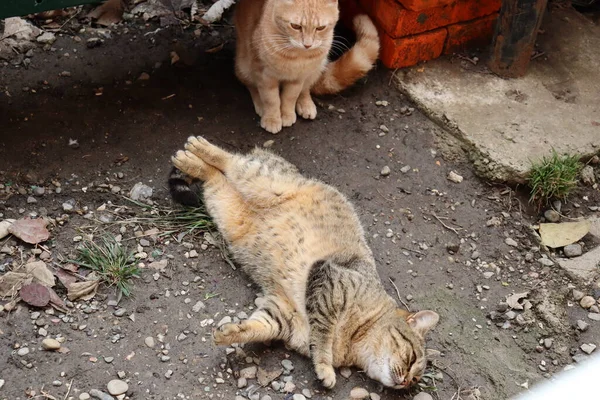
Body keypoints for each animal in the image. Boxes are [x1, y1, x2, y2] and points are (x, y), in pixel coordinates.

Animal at [170, 136, 440, 390]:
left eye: (416, 380)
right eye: (412, 358)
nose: (406, 382)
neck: (354, 341)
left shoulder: (284, 314)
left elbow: (259, 326)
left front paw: (231, 333)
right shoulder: (328, 281)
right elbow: (322, 338)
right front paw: (325, 368)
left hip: (222, 202)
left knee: (216, 177)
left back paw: (195, 163)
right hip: (265, 181)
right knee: (233, 162)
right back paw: (195, 152)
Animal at [234, 0, 380, 133]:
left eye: (320, 28)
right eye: (295, 26)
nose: (307, 44)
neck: (296, 56)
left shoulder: (298, 77)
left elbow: (290, 96)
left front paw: (287, 114)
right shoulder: (264, 74)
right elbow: (271, 98)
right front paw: (272, 118)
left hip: (316, 68)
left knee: (305, 89)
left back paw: (305, 104)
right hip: (244, 66)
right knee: (250, 85)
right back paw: (260, 103)